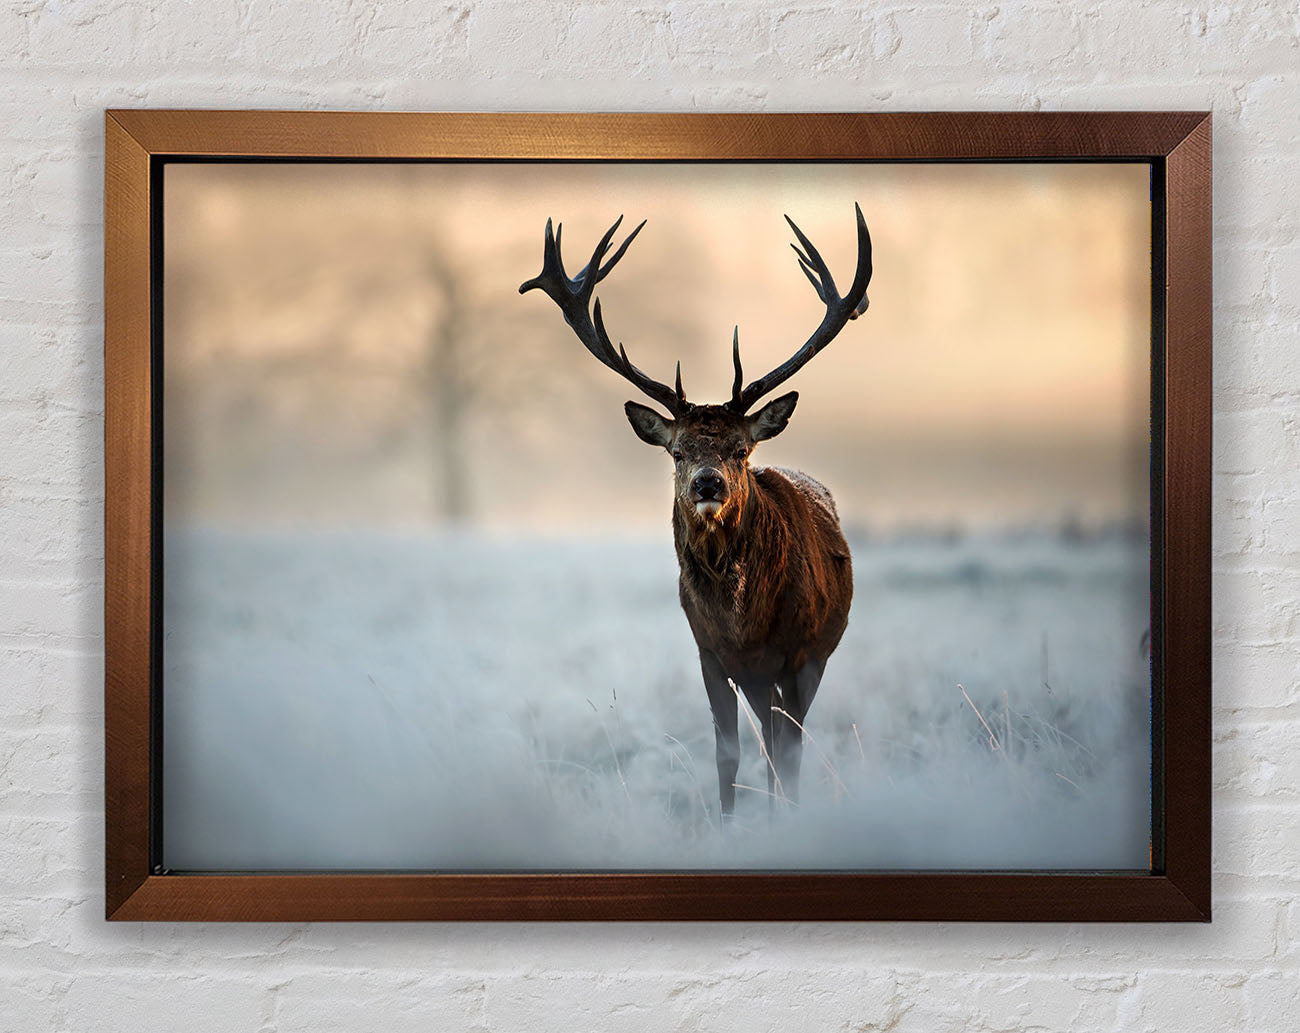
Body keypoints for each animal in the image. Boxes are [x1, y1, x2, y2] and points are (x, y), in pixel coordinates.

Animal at [520, 205, 872, 818]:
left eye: (740, 449)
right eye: (678, 451)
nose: (709, 483)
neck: (744, 624)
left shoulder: (800, 653)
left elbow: (789, 751)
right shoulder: (709, 652)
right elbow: (728, 753)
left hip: (813, 656)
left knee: (784, 743)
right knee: (768, 738)